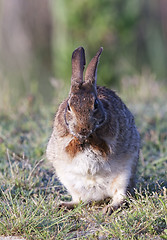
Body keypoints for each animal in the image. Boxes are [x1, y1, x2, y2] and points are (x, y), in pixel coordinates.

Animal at [46, 46, 140, 214]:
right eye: (69, 106)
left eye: (95, 104)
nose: (83, 129)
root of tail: (99, 194)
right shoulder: (62, 142)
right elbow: (70, 148)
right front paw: (78, 140)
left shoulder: (111, 140)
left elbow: (103, 147)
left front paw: (90, 138)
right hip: (68, 180)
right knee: (81, 200)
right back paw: (63, 205)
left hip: (124, 175)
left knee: (121, 197)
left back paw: (109, 208)